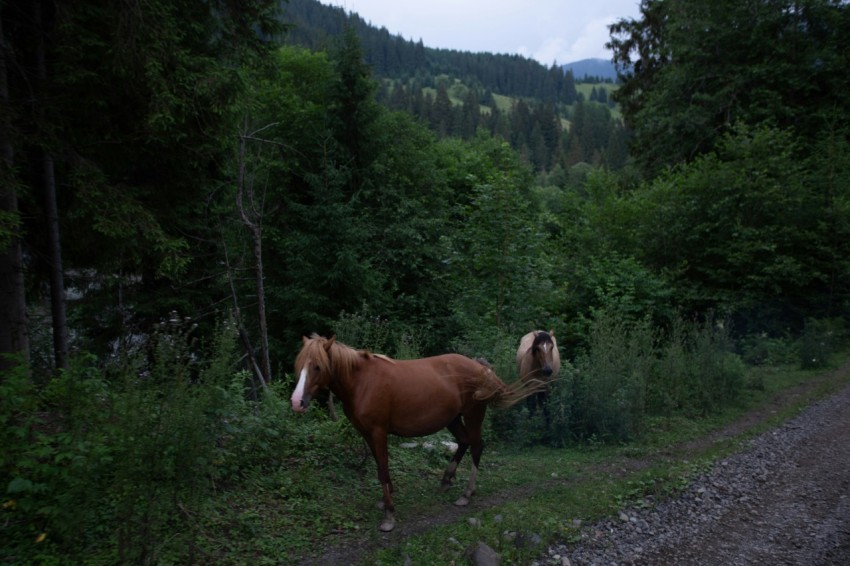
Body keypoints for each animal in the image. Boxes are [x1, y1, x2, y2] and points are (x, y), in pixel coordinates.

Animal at [290, 334, 545, 532]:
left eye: (317, 366)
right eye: (299, 364)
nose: (296, 402)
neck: (362, 381)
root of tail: (481, 368)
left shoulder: (378, 432)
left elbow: (382, 468)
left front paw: (389, 515)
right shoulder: (367, 433)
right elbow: (380, 465)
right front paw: (386, 500)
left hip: (473, 415)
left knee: (476, 446)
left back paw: (466, 494)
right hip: (452, 419)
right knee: (463, 442)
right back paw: (446, 480)